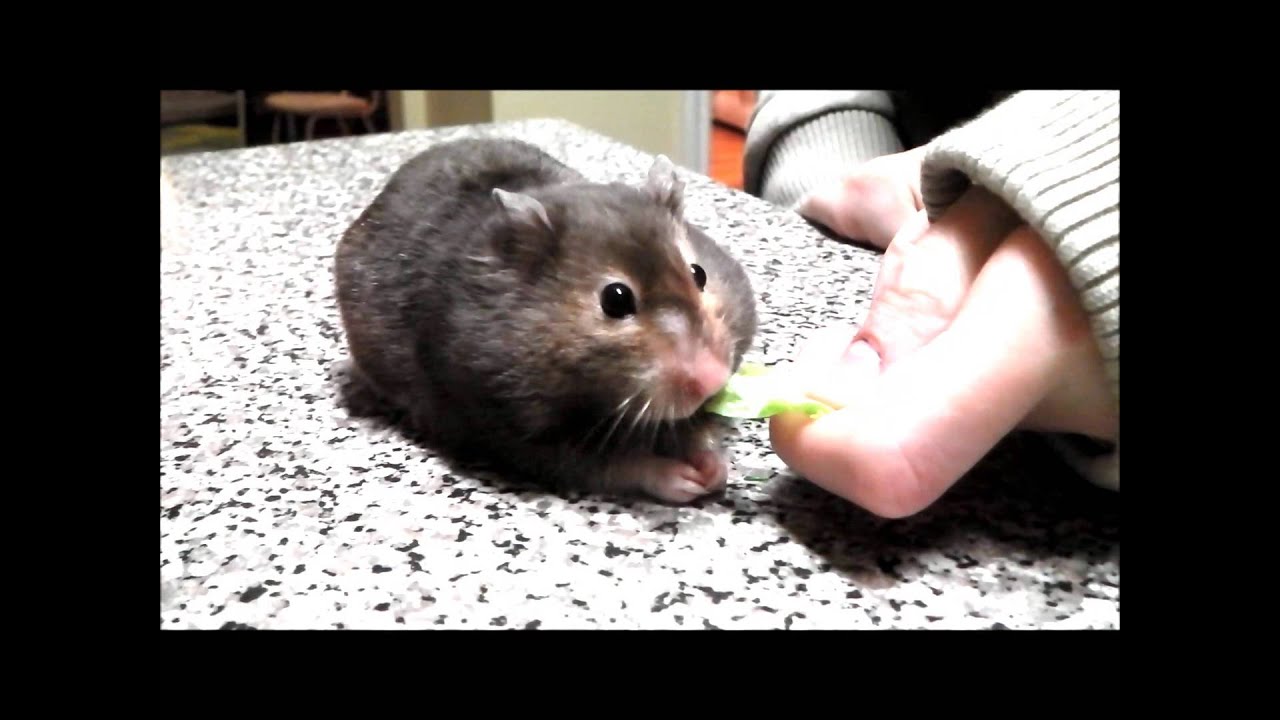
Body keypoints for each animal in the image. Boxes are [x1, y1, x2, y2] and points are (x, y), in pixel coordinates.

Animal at [334, 137, 757, 504]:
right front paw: (683, 479)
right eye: (615, 299)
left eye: (699, 274)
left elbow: (697, 427)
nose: (714, 378)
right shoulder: (508, 429)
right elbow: (609, 464)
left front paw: (713, 468)